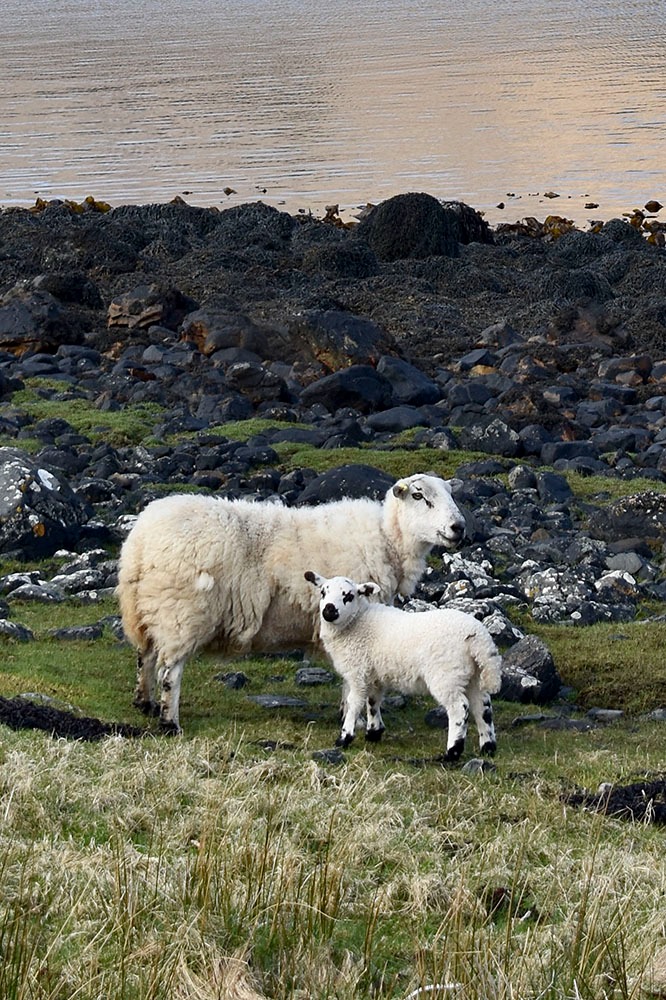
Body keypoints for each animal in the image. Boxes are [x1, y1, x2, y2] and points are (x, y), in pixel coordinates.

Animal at [117, 473, 466, 733]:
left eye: (451, 494)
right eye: (419, 496)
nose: (459, 528)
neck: (389, 540)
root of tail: (140, 540)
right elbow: (354, 681)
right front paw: (357, 718)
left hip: (148, 610)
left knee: (145, 656)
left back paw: (144, 703)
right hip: (181, 613)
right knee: (169, 672)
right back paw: (169, 721)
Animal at [305, 571, 502, 761]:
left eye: (349, 596)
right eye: (323, 593)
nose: (329, 610)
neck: (357, 622)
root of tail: (479, 638)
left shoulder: (358, 672)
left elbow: (353, 703)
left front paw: (344, 738)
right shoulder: (374, 674)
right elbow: (373, 700)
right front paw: (373, 732)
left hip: (447, 675)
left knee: (459, 708)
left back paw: (452, 752)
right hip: (474, 675)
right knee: (483, 707)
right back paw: (488, 747)